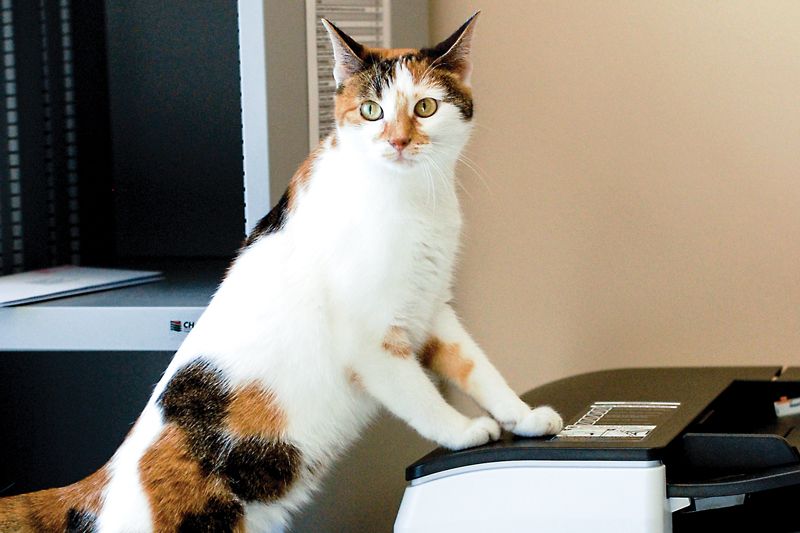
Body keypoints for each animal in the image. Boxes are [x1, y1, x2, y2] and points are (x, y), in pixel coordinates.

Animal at [0, 13, 564, 532]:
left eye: (426, 106)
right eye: (372, 111)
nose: (399, 142)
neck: (411, 198)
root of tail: (98, 489)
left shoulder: (430, 308)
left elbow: (477, 366)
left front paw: (522, 417)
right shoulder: (371, 339)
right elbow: (418, 396)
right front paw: (464, 431)